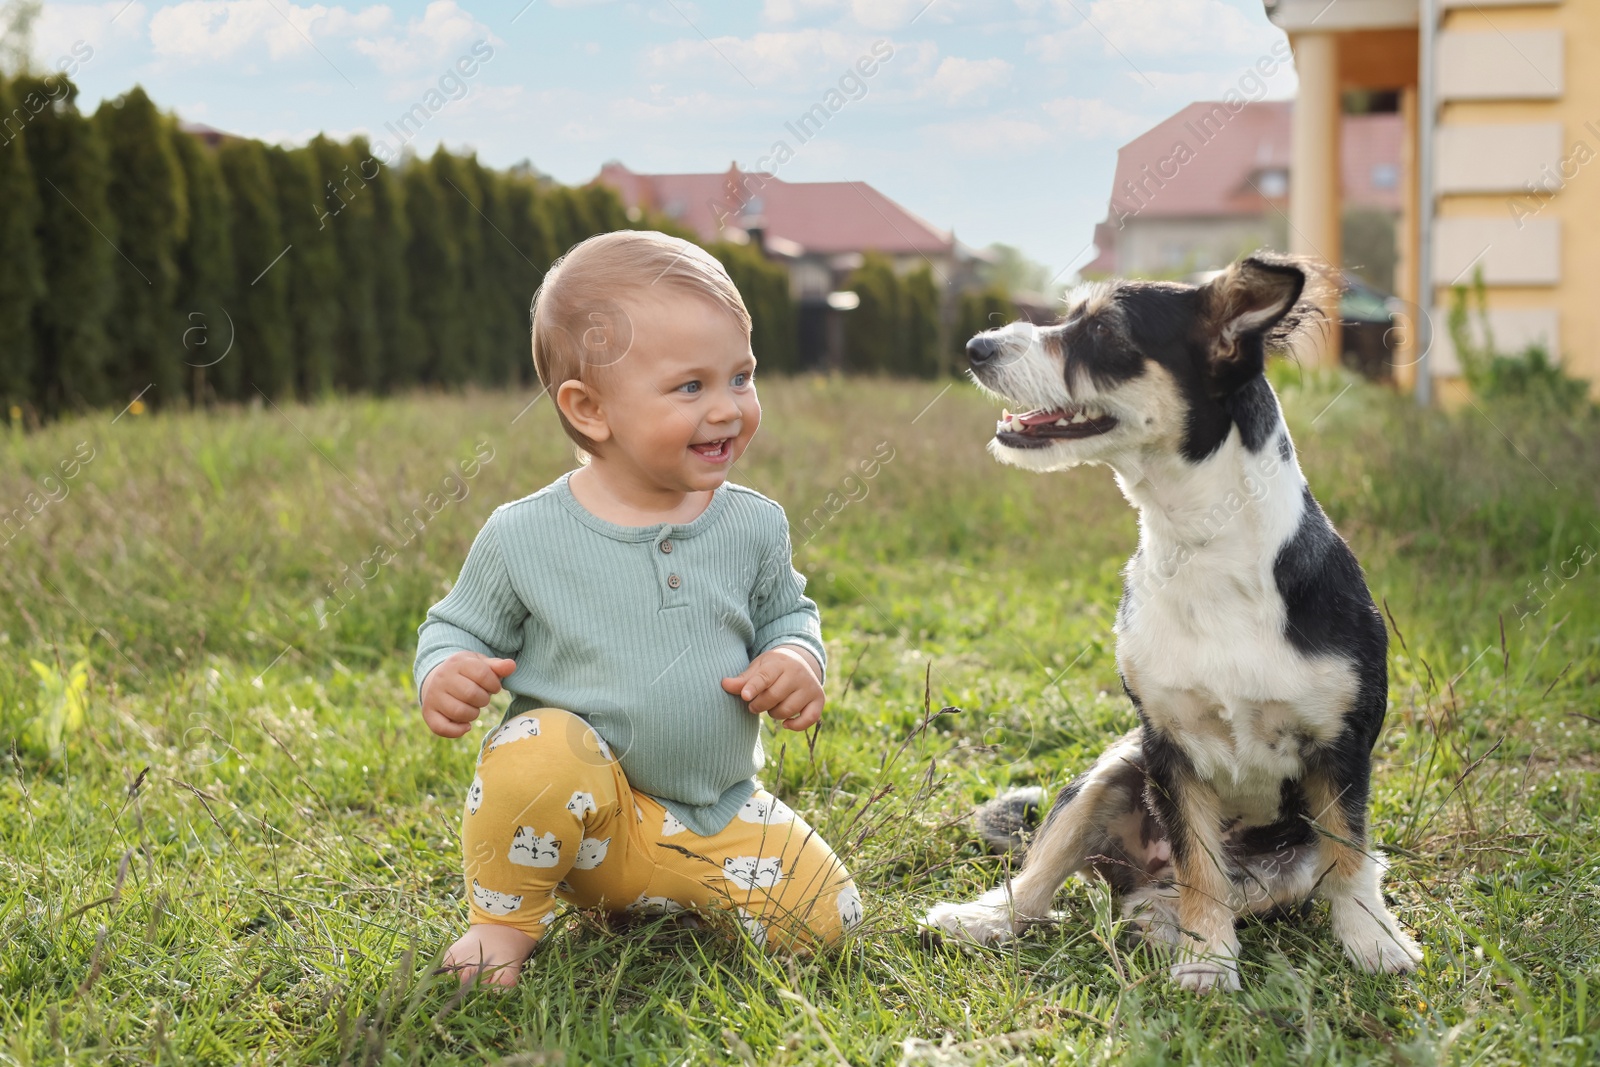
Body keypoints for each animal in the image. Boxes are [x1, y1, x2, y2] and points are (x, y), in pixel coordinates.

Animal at [928, 252, 1427, 991]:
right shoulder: (1168, 747)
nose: (977, 346)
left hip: (1277, 863)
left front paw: (1372, 939)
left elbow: (1350, 853)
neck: (1204, 545)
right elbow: (1200, 864)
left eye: (1103, 331)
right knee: (1048, 876)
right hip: (1113, 769)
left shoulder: (1343, 747)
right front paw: (1208, 960)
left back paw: (1160, 921)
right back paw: (986, 918)